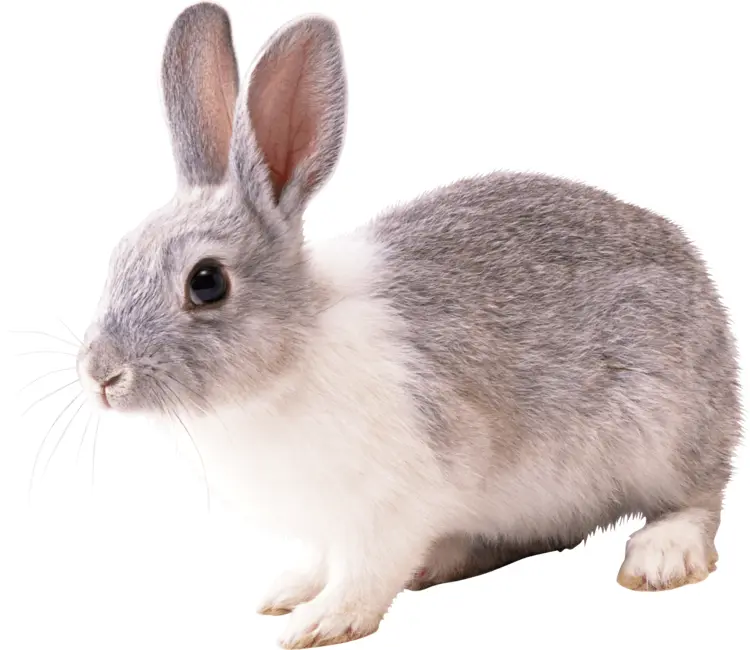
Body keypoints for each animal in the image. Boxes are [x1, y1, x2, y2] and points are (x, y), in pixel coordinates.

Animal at [75, 2, 741, 648]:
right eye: (118, 256)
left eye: (207, 282)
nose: (100, 375)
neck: (289, 358)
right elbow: (322, 560)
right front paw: (287, 591)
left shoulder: (390, 505)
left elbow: (364, 574)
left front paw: (321, 622)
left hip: (664, 432)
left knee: (701, 497)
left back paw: (661, 556)